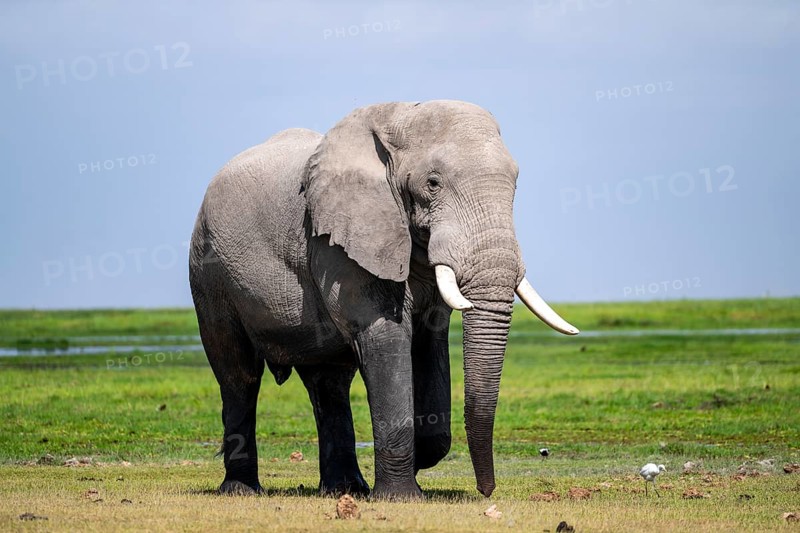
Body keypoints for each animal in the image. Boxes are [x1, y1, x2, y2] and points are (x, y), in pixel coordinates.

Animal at [188, 100, 578, 499]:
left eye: (515, 183)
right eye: (432, 184)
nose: (487, 491)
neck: (398, 119)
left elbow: (430, 340)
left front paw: (421, 456)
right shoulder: (341, 243)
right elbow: (384, 337)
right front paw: (401, 497)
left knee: (328, 382)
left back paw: (344, 489)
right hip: (209, 271)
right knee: (238, 374)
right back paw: (242, 491)